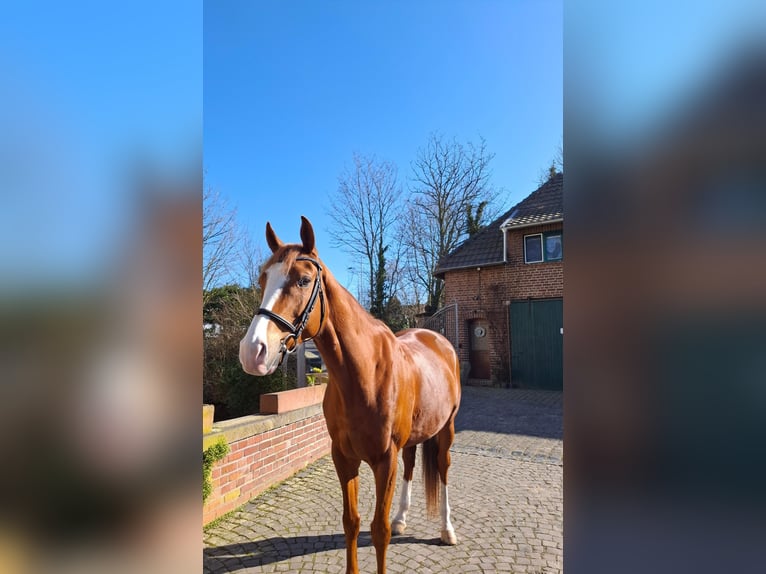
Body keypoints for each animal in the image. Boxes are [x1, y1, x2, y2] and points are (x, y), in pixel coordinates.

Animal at [240, 217, 462, 574]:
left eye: (303, 280)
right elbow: (352, 523)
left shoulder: (384, 460)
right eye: (263, 278)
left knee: (442, 469)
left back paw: (446, 529)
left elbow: (379, 530)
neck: (364, 375)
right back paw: (402, 518)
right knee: (412, 464)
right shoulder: (344, 457)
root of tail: (436, 338)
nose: (252, 351)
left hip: (447, 430)